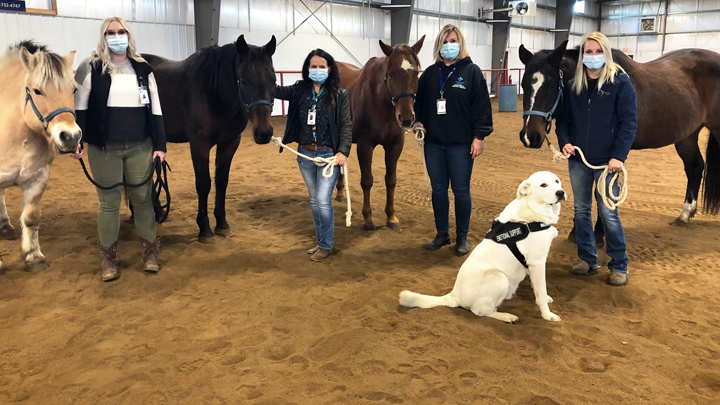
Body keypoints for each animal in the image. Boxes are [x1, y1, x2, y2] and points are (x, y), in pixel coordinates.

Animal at [0, 41, 82, 272]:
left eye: (74, 89)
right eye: (37, 91)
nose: (71, 137)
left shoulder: (37, 179)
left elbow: (31, 218)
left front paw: (33, 256)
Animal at [143, 35, 276, 240]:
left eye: (274, 80)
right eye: (244, 81)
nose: (264, 133)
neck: (215, 92)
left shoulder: (230, 143)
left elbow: (221, 182)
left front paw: (222, 224)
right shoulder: (200, 145)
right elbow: (204, 183)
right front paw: (204, 228)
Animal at [336, 36, 424, 232]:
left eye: (416, 74)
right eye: (391, 74)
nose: (406, 118)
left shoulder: (395, 144)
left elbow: (391, 180)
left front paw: (391, 217)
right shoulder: (365, 145)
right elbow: (367, 180)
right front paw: (368, 219)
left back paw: (340, 192)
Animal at [402, 170, 564, 322]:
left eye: (557, 181)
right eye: (543, 185)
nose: (561, 192)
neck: (532, 212)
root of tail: (454, 296)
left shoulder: (531, 263)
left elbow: (537, 287)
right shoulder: (537, 262)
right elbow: (541, 291)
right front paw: (547, 315)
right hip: (499, 278)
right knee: (480, 311)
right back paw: (506, 316)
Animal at [516, 39, 720, 240]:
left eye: (551, 85)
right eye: (524, 85)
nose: (529, 136)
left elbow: (601, 191)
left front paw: (599, 232)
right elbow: (583, 189)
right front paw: (578, 231)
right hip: (687, 135)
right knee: (695, 167)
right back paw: (685, 214)